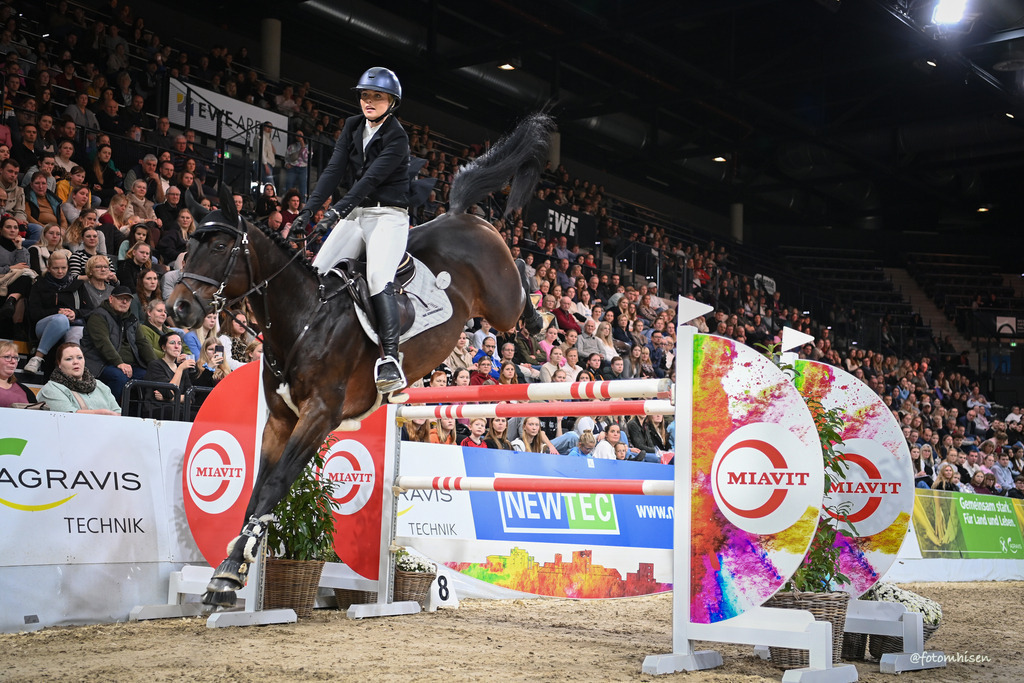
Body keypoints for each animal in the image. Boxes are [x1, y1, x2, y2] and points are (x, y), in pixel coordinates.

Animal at [168, 113, 554, 606]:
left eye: (219, 247)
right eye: (188, 240)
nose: (180, 308)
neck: (303, 319)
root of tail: (458, 214)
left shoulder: (319, 416)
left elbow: (275, 485)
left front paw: (231, 573)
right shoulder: (279, 419)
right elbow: (256, 492)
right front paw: (229, 572)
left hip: (501, 301)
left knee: (521, 280)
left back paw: (539, 315)